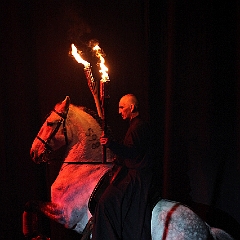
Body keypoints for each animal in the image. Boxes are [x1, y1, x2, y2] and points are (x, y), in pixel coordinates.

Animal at [26, 96, 234, 239]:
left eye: (50, 123)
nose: (33, 152)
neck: (84, 169)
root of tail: (207, 227)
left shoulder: (64, 214)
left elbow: (31, 204)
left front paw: (29, 229)